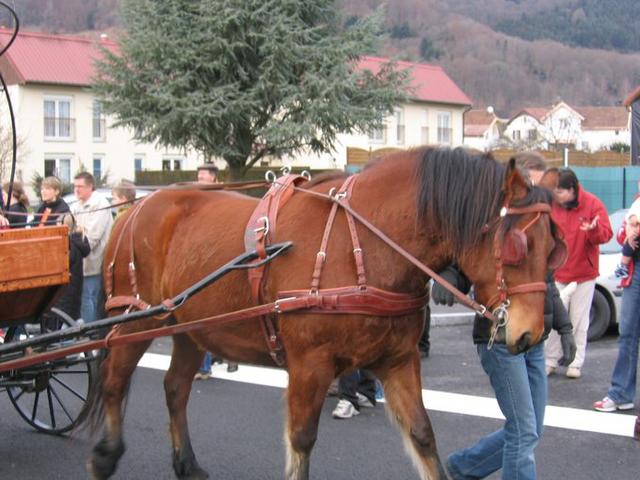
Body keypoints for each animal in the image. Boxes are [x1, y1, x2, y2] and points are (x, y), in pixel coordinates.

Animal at [84, 146, 560, 480]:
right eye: (517, 245)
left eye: (554, 246)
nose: (531, 335)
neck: (366, 243)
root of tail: (135, 208)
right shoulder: (309, 365)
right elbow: (302, 440)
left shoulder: (398, 360)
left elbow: (423, 435)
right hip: (139, 319)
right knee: (113, 381)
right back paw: (105, 456)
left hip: (191, 328)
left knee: (175, 389)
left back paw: (186, 463)